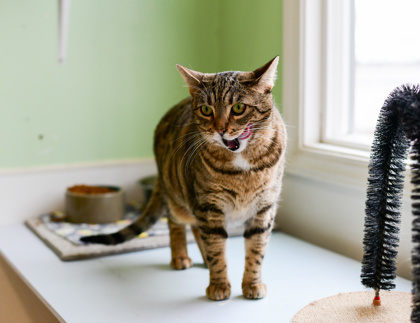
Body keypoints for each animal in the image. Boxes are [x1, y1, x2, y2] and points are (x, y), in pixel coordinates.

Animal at [81, 57, 288, 302]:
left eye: (238, 108)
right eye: (206, 110)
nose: (220, 129)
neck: (243, 168)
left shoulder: (263, 208)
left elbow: (256, 250)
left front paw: (252, 284)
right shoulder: (209, 205)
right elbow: (217, 249)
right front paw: (219, 285)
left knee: (197, 229)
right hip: (181, 198)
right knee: (177, 223)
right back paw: (180, 256)